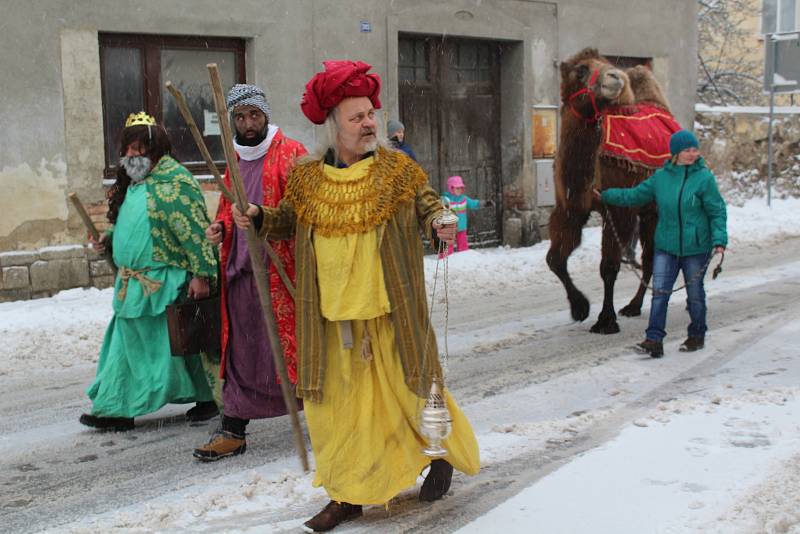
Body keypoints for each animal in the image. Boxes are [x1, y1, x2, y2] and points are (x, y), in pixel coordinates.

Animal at [544, 49, 676, 336]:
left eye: (607, 64)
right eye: (581, 69)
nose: (616, 77)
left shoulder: (618, 209)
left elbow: (608, 266)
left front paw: (605, 320)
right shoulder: (570, 207)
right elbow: (555, 259)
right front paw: (580, 308)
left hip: (656, 209)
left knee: (652, 257)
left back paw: (636, 306)